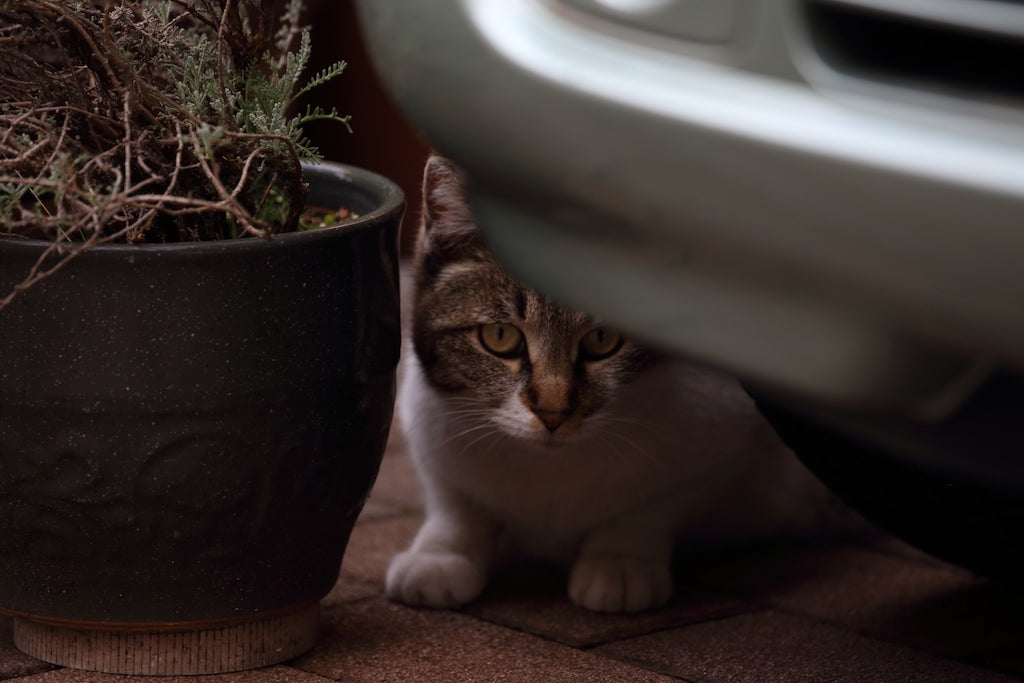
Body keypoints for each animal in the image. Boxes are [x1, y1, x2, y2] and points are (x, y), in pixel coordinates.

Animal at [385, 154, 864, 614]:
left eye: (602, 340)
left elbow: (651, 507)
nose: (553, 412)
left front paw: (618, 561)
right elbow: (455, 502)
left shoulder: (725, 435)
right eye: (500, 337)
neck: (548, 468)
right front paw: (440, 553)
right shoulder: (427, 422)